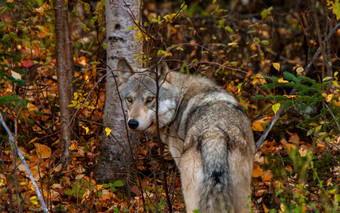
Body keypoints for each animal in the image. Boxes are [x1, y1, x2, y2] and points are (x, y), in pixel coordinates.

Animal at [117, 58, 255, 213]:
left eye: (150, 99)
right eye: (129, 99)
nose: (132, 123)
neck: (179, 102)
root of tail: (214, 134)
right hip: (243, 199)